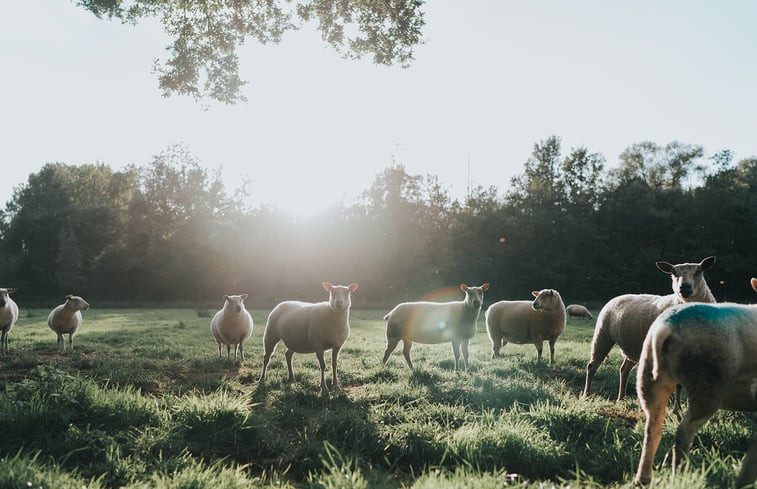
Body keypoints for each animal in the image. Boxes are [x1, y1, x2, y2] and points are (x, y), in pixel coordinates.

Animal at [580, 255, 716, 400]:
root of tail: (618, 297)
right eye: (673, 273)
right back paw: (586, 394)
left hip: (633, 346)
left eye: (698, 271)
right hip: (603, 334)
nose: (684, 287)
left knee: (624, 369)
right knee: (592, 365)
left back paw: (621, 398)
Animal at [632, 276, 756, 486]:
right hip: (708, 385)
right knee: (684, 432)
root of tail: (666, 327)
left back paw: (643, 479)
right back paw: (680, 475)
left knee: (652, 430)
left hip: (649, 377)